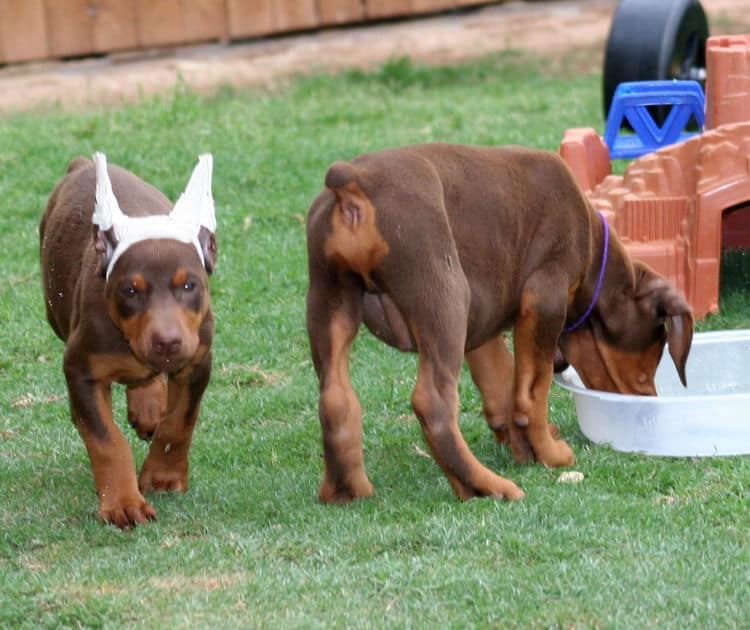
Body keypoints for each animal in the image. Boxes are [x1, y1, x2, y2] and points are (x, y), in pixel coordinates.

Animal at [40, 156, 217, 532]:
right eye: (130, 290)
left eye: (189, 285)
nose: (167, 342)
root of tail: (80, 165)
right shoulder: (80, 368)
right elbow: (107, 440)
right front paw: (123, 503)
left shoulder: (197, 361)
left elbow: (180, 421)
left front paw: (164, 476)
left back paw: (148, 405)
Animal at [308, 143, 696, 504]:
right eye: (655, 354)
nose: (647, 413)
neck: (592, 250)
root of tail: (354, 181)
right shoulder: (544, 298)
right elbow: (532, 393)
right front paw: (550, 454)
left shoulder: (483, 324)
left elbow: (502, 385)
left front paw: (523, 448)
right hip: (444, 297)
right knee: (432, 403)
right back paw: (485, 486)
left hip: (330, 300)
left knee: (336, 400)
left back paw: (346, 490)